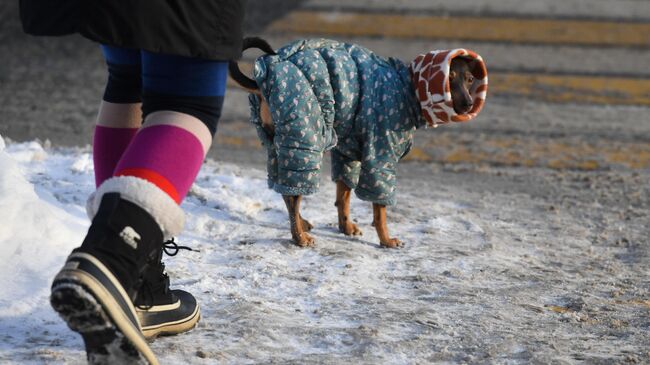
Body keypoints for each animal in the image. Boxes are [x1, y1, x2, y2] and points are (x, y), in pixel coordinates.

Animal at [228, 37, 486, 247]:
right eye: (449, 78)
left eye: (470, 79)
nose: (468, 103)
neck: (407, 88)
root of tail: (265, 77)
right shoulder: (380, 157)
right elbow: (380, 210)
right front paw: (386, 240)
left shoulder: (348, 153)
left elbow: (343, 196)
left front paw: (346, 227)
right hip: (305, 138)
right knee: (294, 194)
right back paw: (299, 237)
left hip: (277, 144)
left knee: (285, 189)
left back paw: (301, 224)